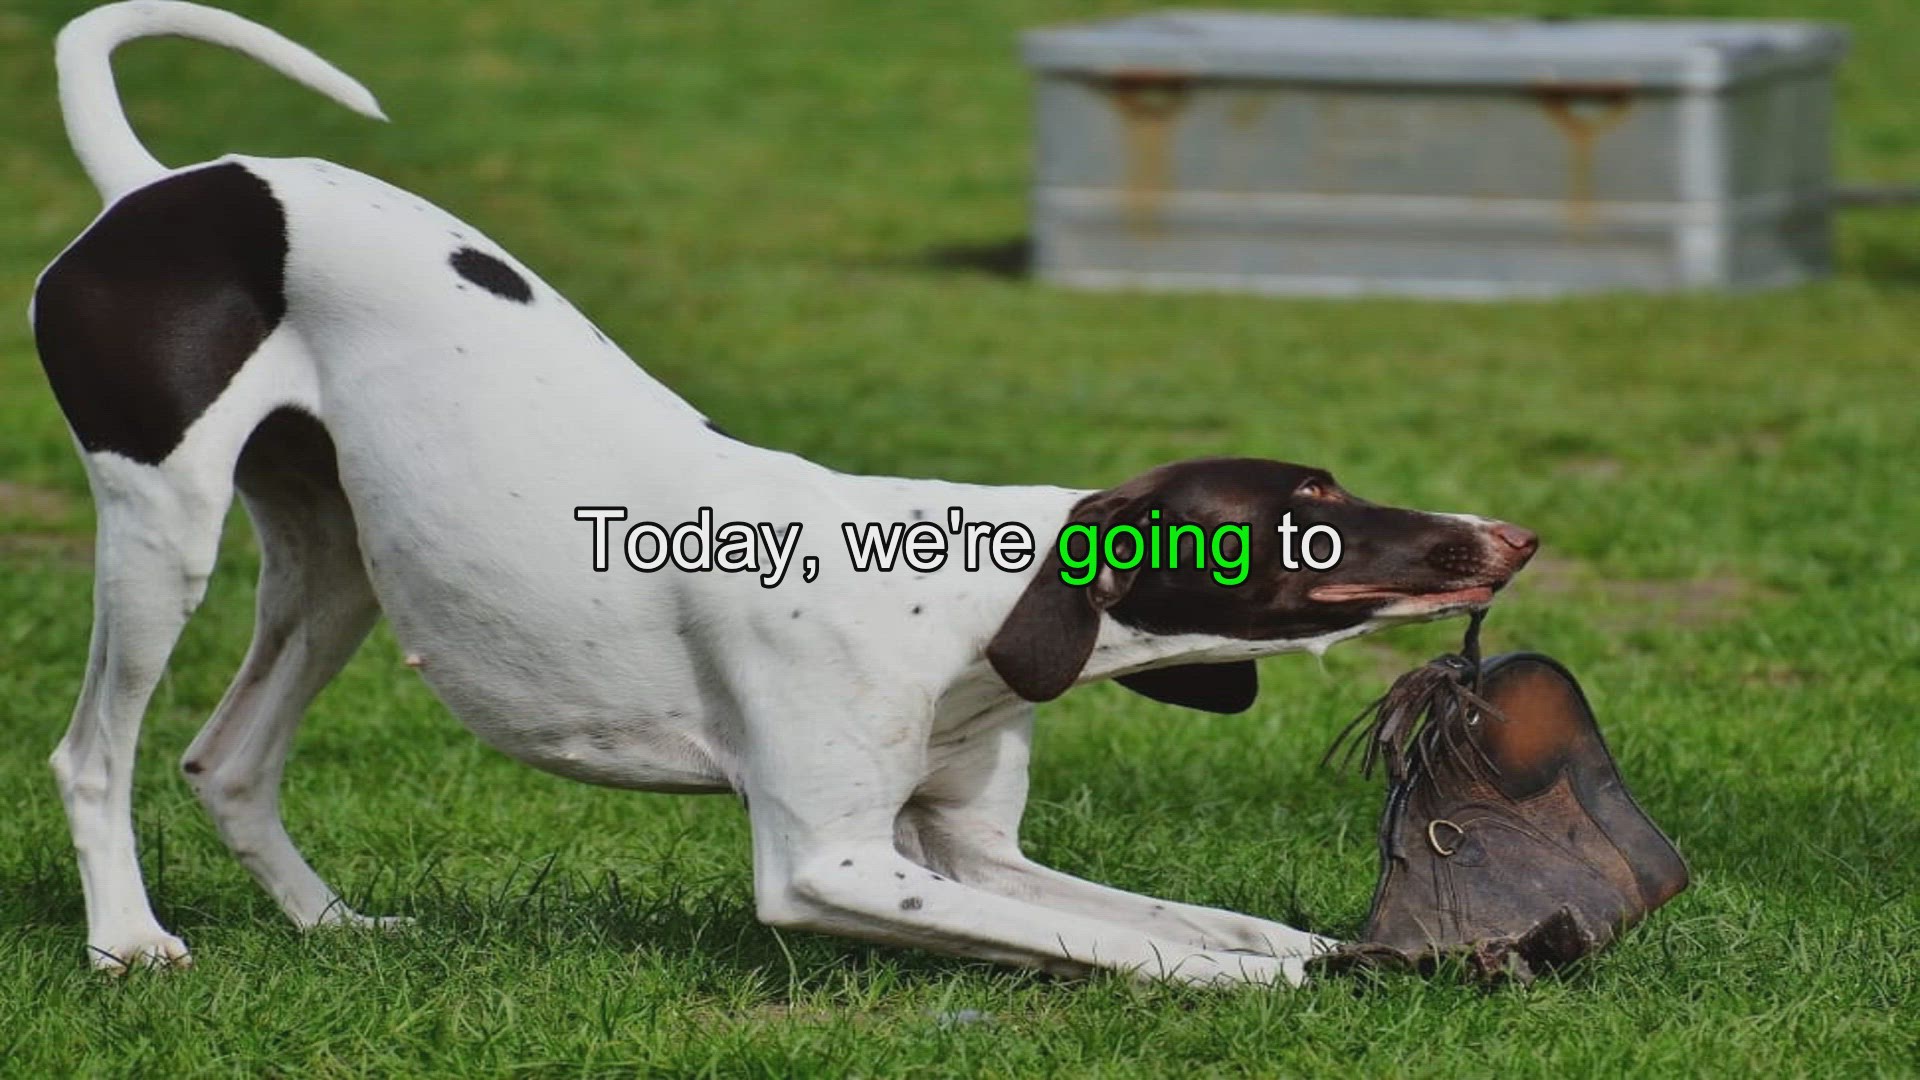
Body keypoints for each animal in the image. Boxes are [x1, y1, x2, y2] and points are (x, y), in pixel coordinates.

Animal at [30, 4, 1536, 983]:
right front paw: (1298, 983)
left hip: (338, 565)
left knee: (226, 761)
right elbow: (1153, 951)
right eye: (1309, 494)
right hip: (163, 540)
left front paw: (1334, 946)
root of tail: (159, 187)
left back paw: (331, 930)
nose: (1510, 533)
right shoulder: (836, 865)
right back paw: (129, 940)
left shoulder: (968, 852)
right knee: (95, 753)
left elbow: (1204, 923)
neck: (970, 602)